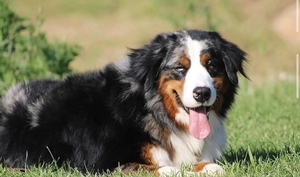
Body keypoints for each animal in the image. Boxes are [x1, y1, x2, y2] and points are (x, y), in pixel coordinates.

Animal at [0, 29, 247, 176]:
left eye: (212, 66)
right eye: (180, 67)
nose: (202, 93)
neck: (152, 110)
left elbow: (210, 166)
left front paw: (207, 167)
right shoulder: (103, 165)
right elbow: (167, 169)